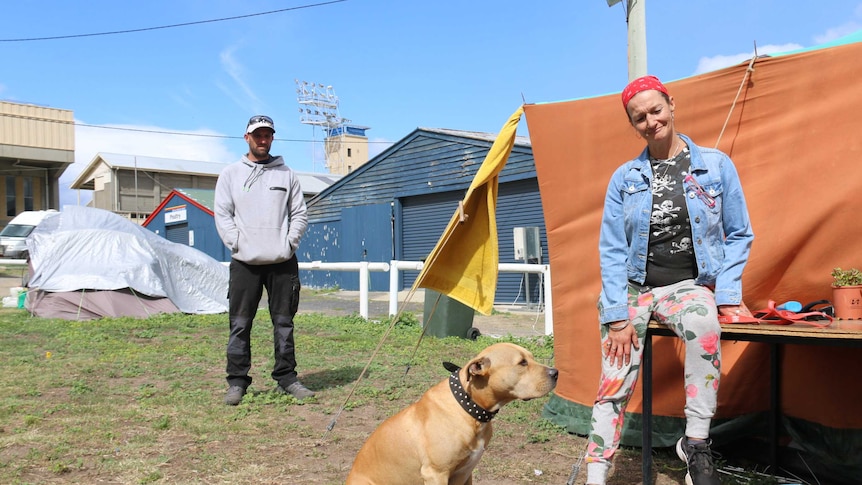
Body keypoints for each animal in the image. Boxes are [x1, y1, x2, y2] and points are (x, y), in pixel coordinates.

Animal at [346, 340, 560, 484]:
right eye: (522, 363)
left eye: (531, 358)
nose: (556, 372)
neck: (470, 410)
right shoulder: (436, 474)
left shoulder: (465, 473)